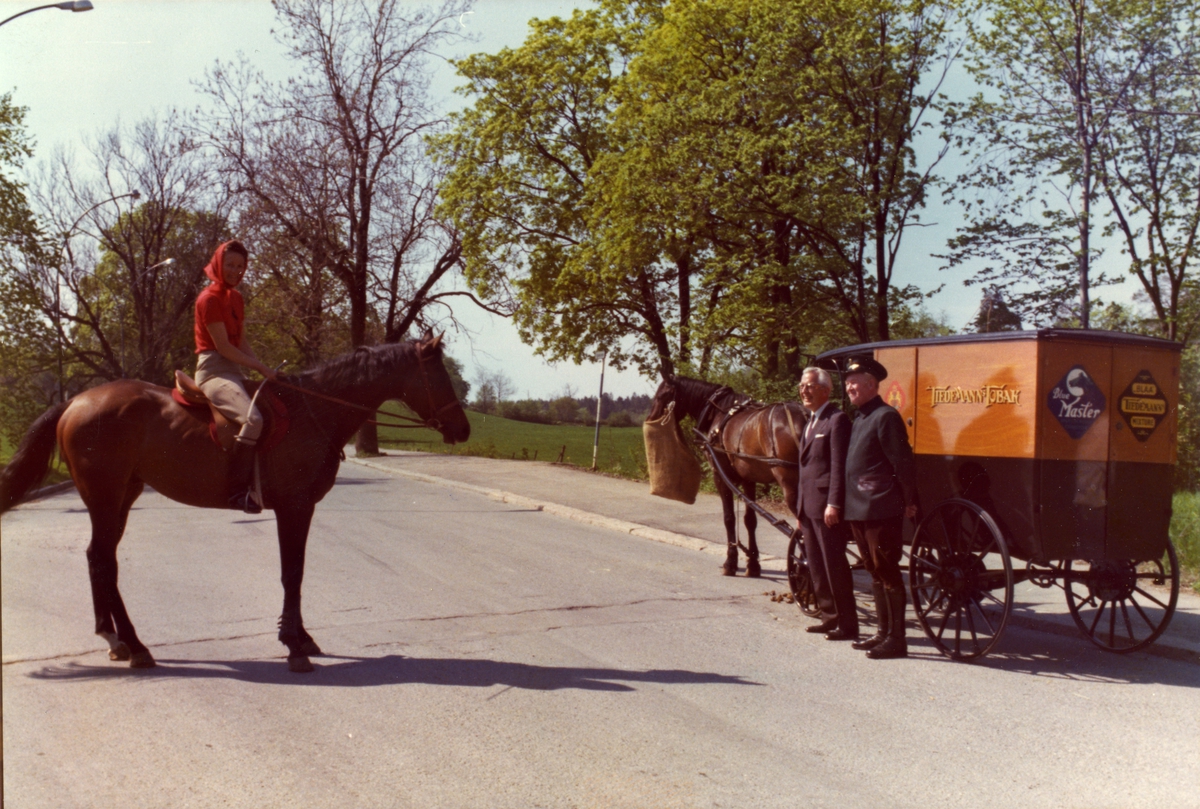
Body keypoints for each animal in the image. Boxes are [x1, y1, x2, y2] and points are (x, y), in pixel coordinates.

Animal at [0, 331, 468, 672]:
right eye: (438, 375)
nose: (463, 429)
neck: (314, 410)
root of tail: (76, 401)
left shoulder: (299, 509)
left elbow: (295, 573)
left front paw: (300, 638)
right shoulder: (295, 506)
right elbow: (292, 574)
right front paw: (294, 646)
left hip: (123, 495)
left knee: (101, 558)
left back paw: (118, 641)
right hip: (105, 495)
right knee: (102, 560)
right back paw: (132, 644)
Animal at [648, 376, 806, 573]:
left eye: (662, 395)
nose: (649, 419)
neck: (721, 412)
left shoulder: (720, 476)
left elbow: (729, 518)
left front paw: (730, 562)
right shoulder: (748, 479)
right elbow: (750, 520)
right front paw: (753, 563)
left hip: (790, 484)